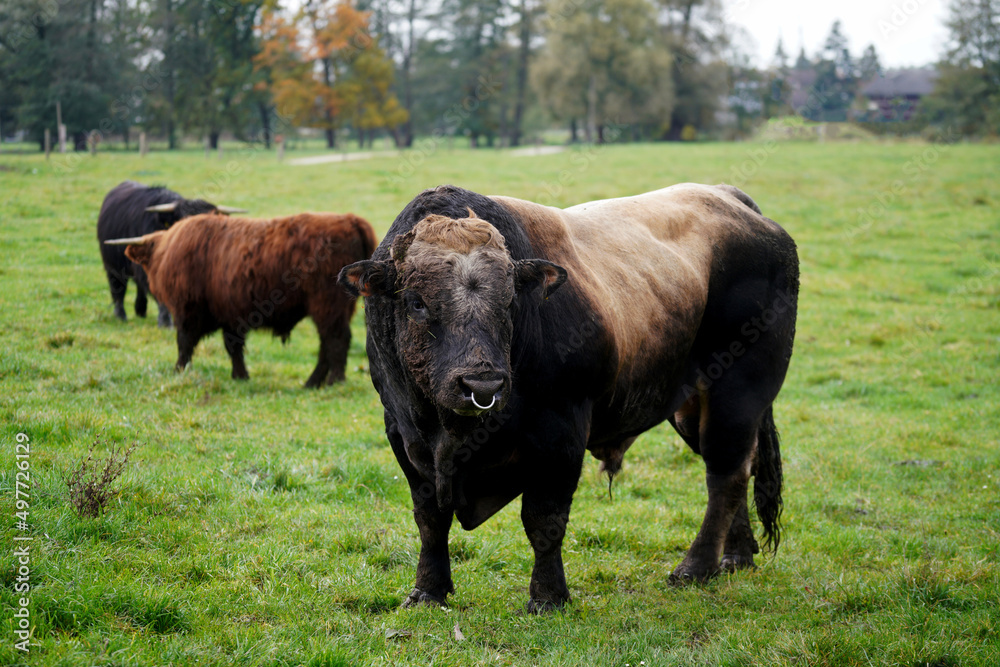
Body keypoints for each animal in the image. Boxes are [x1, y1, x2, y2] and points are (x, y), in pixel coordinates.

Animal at [107, 209, 376, 386]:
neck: (166, 252)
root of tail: (349, 219)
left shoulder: (188, 311)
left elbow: (184, 343)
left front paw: (179, 371)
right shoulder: (230, 315)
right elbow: (233, 346)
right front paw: (240, 376)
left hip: (328, 306)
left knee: (335, 340)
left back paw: (332, 381)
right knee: (328, 343)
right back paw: (314, 382)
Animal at [340, 183, 800, 612]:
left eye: (509, 300)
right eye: (417, 302)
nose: (482, 386)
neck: (451, 434)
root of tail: (729, 198)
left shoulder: (560, 433)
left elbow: (544, 520)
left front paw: (548, 595)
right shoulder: (403, 434)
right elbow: (430, 519)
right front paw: (428, 590)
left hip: (738, 394)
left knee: (726, 474)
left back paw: (696, 567)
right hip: (694, 407)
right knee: (740, 467)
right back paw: (737, 556)